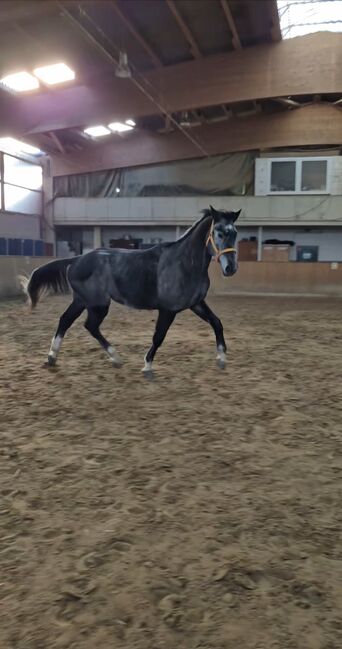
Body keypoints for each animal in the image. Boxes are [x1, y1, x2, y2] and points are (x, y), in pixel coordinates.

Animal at [21, 202, 240, 374]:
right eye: (219, 232)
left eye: (235, 233)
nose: (231, 268)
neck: (184, 263)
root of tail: (76, 260)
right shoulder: (167, 310)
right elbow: (159, 336)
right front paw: (147, 366)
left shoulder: (196, 303)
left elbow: (217, 323)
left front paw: (222, 358)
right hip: (97, 304)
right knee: (89, 325)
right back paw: (114, 357)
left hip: (82, 301)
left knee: (67, 321)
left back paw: (53, 357)